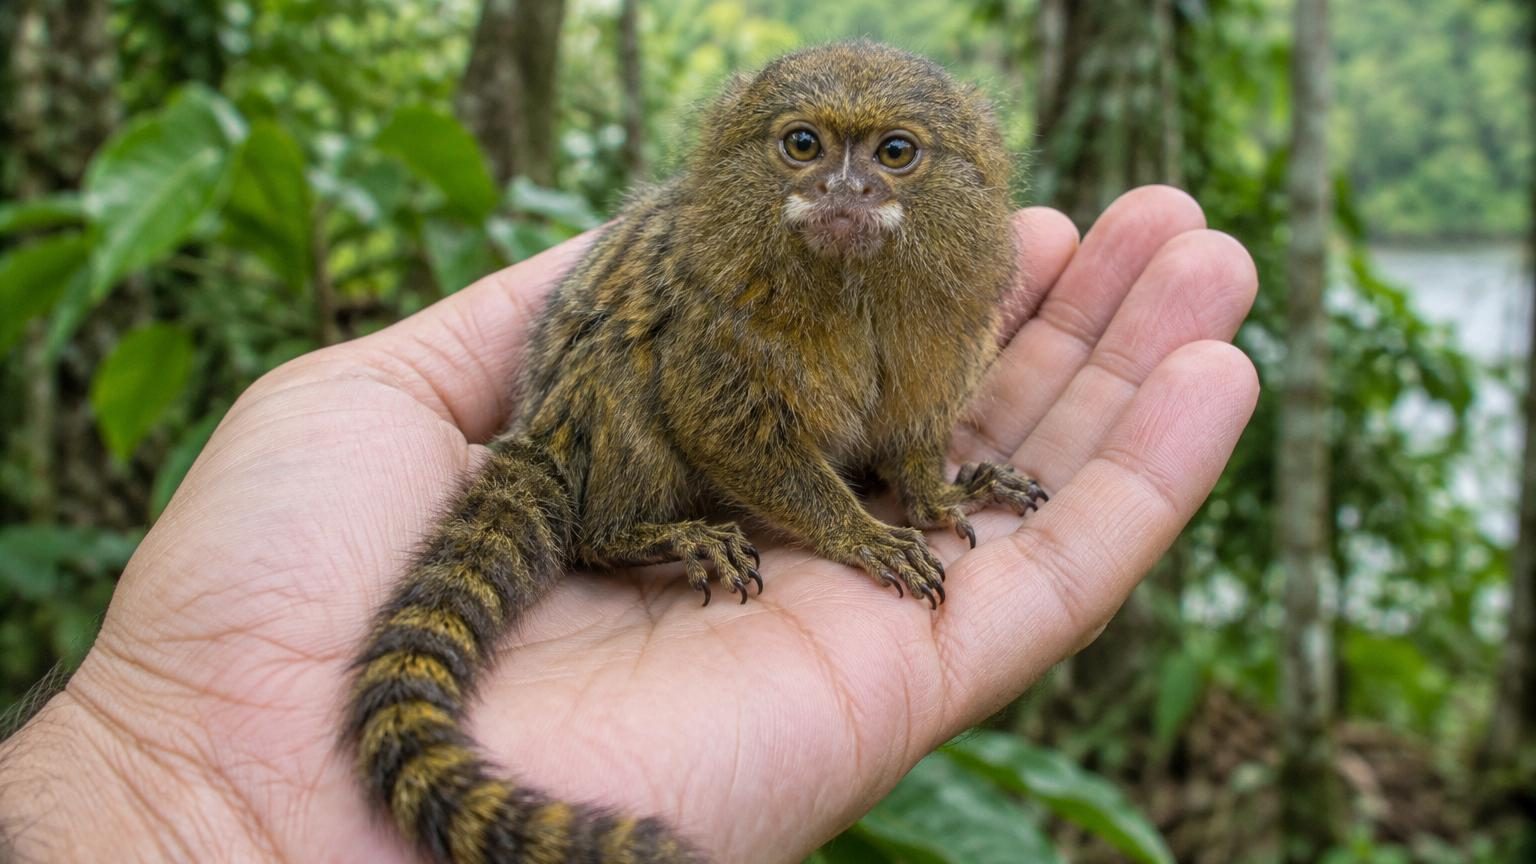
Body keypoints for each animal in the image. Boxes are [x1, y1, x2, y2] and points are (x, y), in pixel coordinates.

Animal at [345, 40, 1048, 864]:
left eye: (895, 153)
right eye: (802, 144)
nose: (844, 189)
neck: (851, 289)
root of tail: (542, 421)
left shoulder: (941, 334)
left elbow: (910, 435)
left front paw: (937, 495)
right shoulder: (716, 329)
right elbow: (722, 429)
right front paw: (862, 534)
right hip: (593, 414)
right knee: (616, 393)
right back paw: (649, 535)